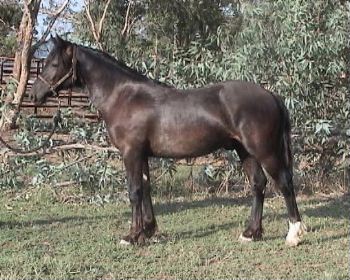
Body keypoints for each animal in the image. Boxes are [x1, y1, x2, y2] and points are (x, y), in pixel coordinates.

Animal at [32, 36, 306, 246]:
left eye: (54, 63)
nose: (35, 95)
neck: (123, 96)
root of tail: (271, 95)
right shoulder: (141, 155)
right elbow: (145, 188)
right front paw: (148, 230)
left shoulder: (131, 153)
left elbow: (134, 191)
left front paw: (132, 236)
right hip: (245, 151)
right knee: (258, 184)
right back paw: (251, 233)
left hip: (265, 151)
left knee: (284, 183)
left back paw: (294, 234)